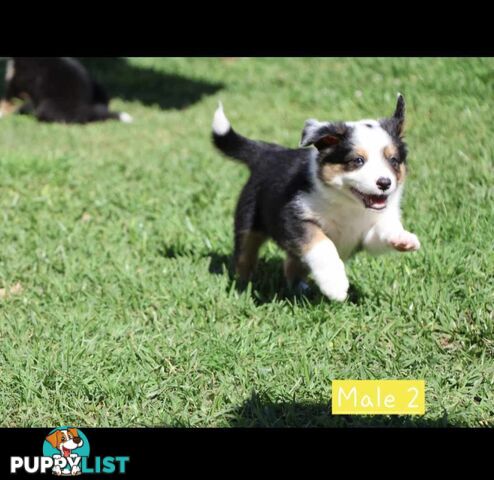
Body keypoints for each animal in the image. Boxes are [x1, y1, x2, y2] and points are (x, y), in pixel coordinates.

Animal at [212, 95, 420, 302]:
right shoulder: (295, 217)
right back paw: (241, 288)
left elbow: (382, 230)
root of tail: (269, 153)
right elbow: (323, 244)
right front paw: (335, 286)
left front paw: (403, 238)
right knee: (244, 256)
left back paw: (300, 288)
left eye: (393, 160)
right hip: (248, 221)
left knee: (291, 263)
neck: (348, 203)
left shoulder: (365, 235)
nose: (385, 183)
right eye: (358, 160)